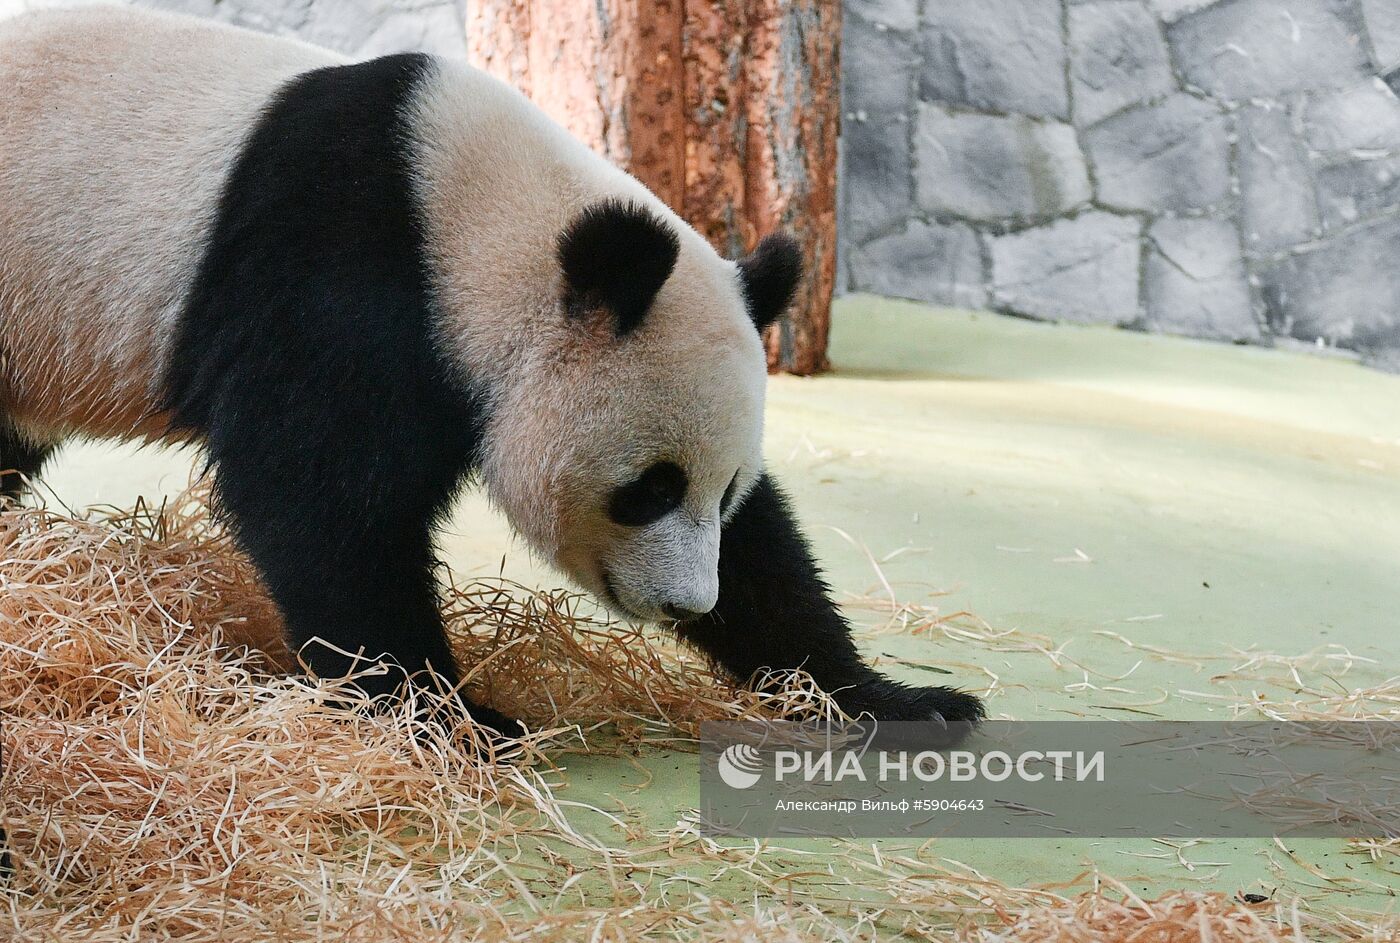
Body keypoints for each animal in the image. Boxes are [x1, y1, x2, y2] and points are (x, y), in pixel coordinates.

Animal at [2, 5, 985, 733]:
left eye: (723, 486)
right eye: (649, 489)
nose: (686, 603)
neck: (476, 220)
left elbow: (766, 555)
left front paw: (898, 698)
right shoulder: (339, 275)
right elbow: (320, 504)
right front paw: (455, 716)